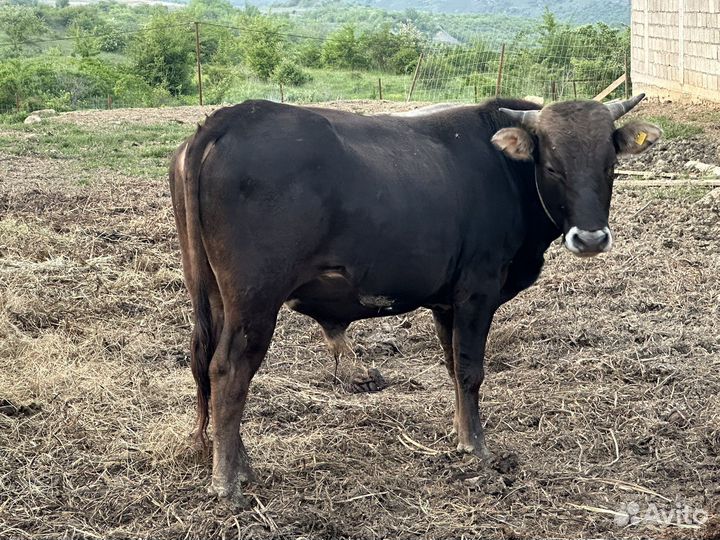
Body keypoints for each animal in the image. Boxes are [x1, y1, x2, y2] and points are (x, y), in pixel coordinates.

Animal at [169, 95, 661, 502]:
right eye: (553, 165)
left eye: (608, 165)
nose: (591, 238)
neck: (504, 170)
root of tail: (229, 118)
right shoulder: (477, 292)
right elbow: (470, 371)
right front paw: (476, 446)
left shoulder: (447, 304)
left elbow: (453, 368)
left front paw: (460, 432)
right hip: (254, 301)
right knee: (228, 371)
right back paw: (229, 480)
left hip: (212, 295)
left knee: (205, 365)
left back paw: (232, 460)